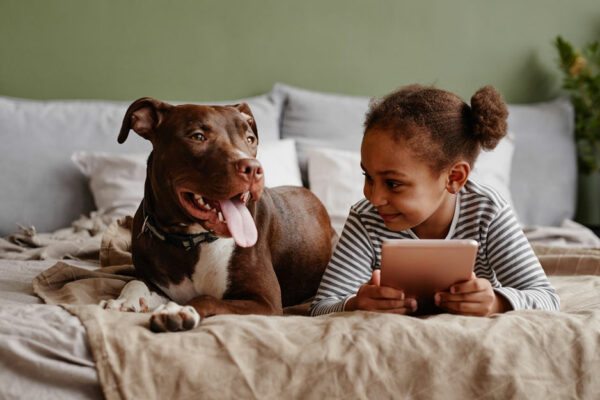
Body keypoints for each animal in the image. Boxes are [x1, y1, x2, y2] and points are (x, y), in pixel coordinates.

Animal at [101, 98, 336, 332]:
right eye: (198, 136)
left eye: (250, 139)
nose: (254, 168)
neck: (189, 241)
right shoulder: (155, 282)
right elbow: (135, 282)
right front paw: (125, 301)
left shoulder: (265, 302)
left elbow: (207, 298)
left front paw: (179, 310)